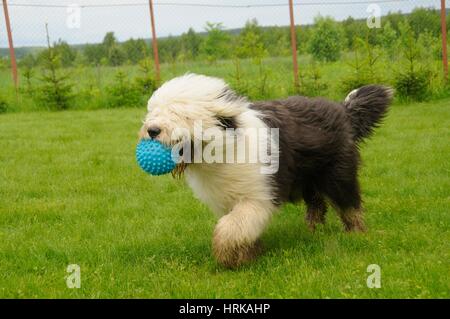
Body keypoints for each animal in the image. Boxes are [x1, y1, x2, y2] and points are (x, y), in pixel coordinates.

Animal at [139, 74, 392, 268]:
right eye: (154, 111)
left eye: (180, 114)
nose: (152, 130)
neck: (223, 147)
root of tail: (343, 110)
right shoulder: (227, 200)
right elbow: (240, 227)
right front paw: (248, 253)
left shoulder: (257, 196)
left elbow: (232, 226)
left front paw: (227, 255)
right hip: (308, 178)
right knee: (318, 204)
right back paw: (313, 230)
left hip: (337, 173)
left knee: (349, 203)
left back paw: (355, 232)